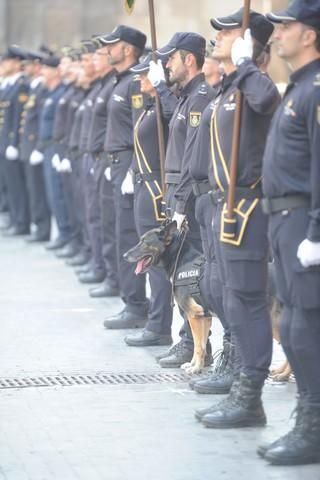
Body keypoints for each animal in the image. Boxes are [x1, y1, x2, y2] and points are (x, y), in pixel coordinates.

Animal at [124, 222, 288, 378]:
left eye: (144, 242)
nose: (124, 255)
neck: (181, 260)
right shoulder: (205, 317)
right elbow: (201, 345)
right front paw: (194, 365)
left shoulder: (194, 316)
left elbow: (198, 346)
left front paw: (196, 368)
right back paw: (281, 372)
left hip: (272, 322)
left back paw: (284, 375)